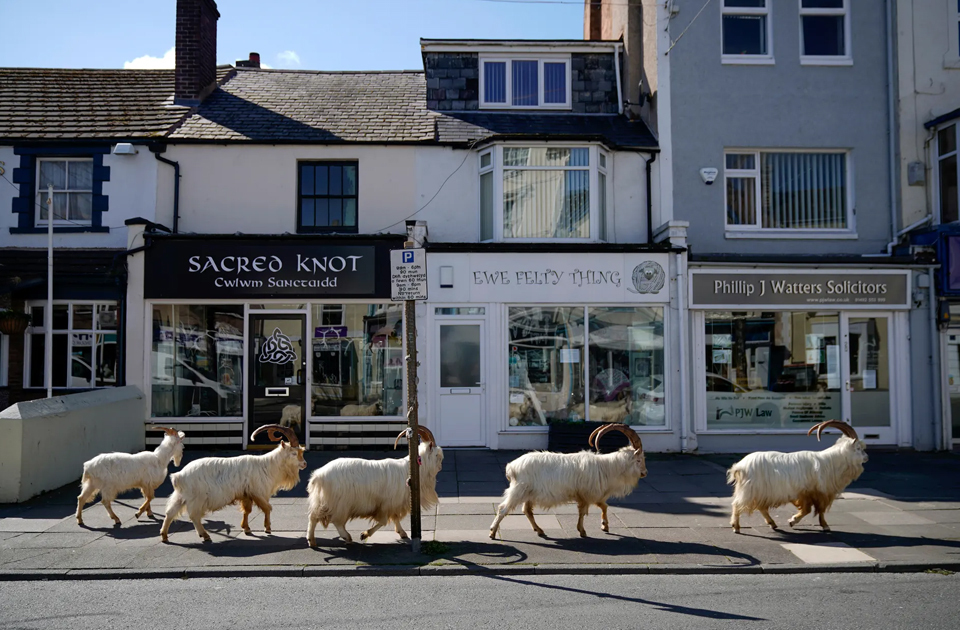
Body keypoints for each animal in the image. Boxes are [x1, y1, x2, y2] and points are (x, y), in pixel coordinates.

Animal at [159, 428, 306, 544]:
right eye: (294, 453)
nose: (304, 464)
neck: (267, 465)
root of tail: (179, 475)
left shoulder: (246, 494)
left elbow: (247, 511)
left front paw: (246, 528)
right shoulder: (259, 492)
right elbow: (267, 508)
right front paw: (267, 528)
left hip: (181, 496)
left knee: (170, 512)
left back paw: (164, 536)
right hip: (197, 498)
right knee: (194, 516)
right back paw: (205, 535)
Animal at [308, 430, 442, 548]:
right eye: (437, 455)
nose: (440, 467)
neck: (411, 469)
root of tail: (319, 475)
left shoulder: (394, 503)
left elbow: (395, 517)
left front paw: (402, 533)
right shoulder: (385, 504)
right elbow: (383, 521)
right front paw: (364, 534)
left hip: (325, 501)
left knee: (313, 516)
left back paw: (312, 541)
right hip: (340, 503)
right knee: (336, 521)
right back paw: (346, 537)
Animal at [492, 422, 648, 540]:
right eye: (639, 460)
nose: (645, 473)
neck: (607, 467)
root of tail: (511, 467)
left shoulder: (589, 495)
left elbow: (603, 506)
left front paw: (604, 526)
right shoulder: (587, 494)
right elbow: (584, 512)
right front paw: (583, 531)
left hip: (529, 494)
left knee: (527, 511)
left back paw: (540, 530)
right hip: (519, 490)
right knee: (503, 509)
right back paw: (492, 533)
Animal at [728, 422, 872, 536]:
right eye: (858, 448)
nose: (867, 457)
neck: (829, 463)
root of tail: (741, 466)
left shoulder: (814, 493)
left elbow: (817, 510)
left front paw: (821, 525)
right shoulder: (813, 492)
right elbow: (812, 510)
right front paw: (795, 521)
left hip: (760, 492)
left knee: (761, 507)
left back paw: (772, 523)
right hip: (750, 490)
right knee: (737, 504)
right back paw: (736, 527)